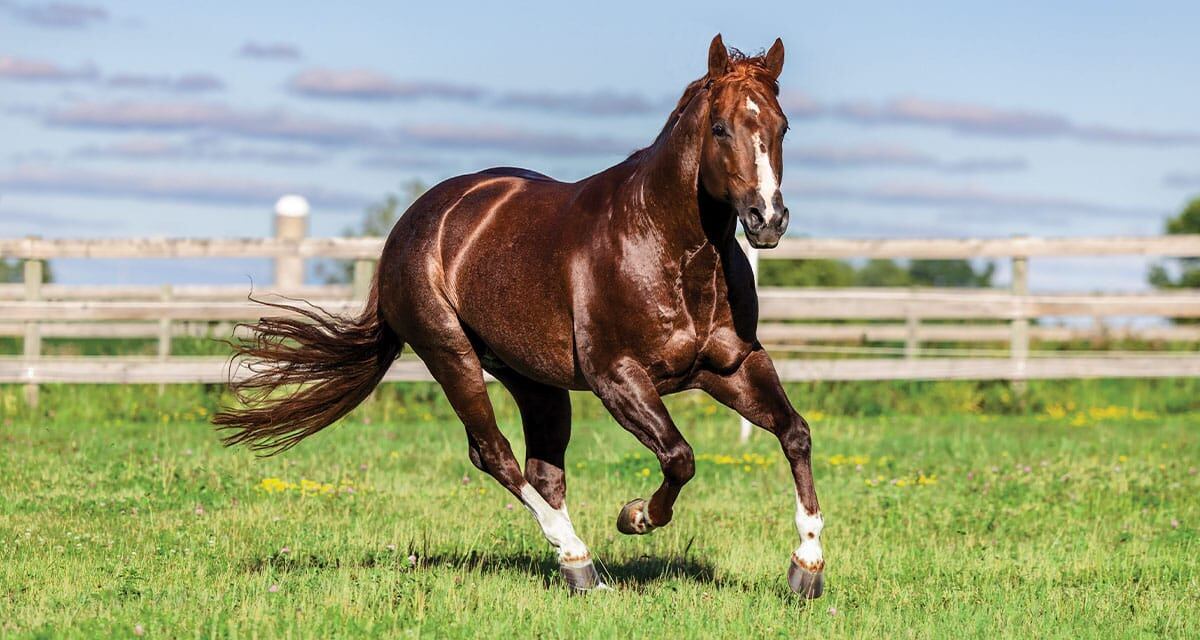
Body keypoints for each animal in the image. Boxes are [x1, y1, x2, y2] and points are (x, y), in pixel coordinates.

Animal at [214, 34, 825, 598]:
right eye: (720, 128)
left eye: (783, 126)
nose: (767, 220)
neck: (667, 247)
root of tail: (414, 222)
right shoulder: (617, 377)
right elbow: (679, 456)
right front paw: (635, 516)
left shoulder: (731, 366)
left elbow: (794, 433)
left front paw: (808, 565)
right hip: (452, 355)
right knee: (495, 454)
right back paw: (575, 554)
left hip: (533, 379)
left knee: (542, 470)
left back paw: (577, 569)